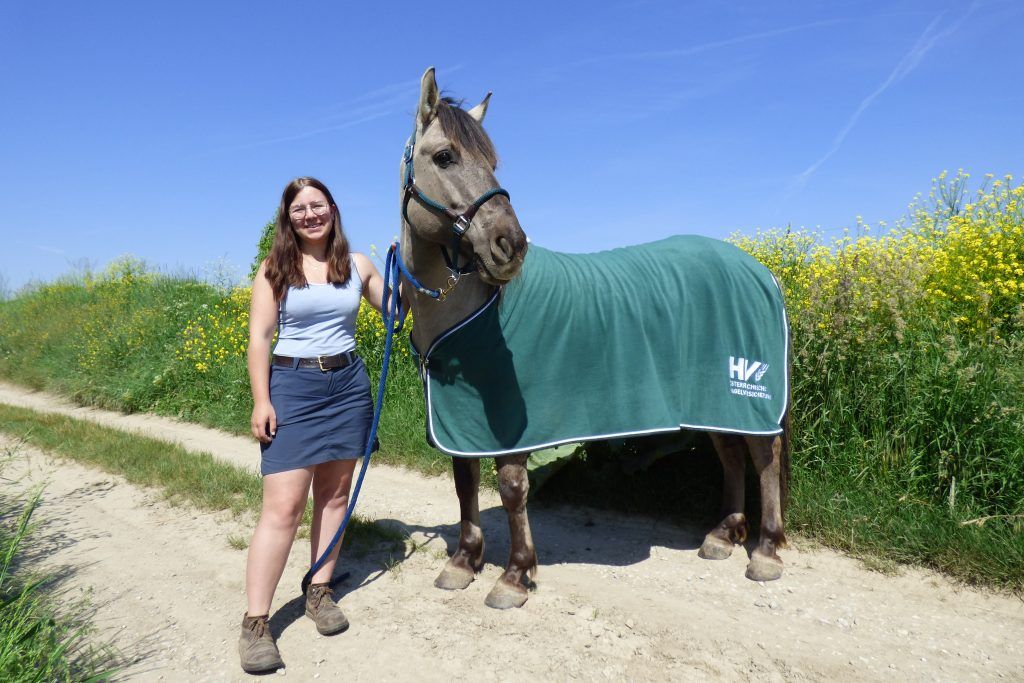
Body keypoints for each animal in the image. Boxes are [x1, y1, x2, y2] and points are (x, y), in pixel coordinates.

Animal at [396, 67, 791, 609]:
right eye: (444, 156)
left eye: (493, 162)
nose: (510, 245)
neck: (472, 308)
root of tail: (761, 271)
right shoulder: (461, 419)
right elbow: (464, 483)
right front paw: (463, 562)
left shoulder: (510, 424)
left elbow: (512, 487)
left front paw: (514, 575)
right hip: (713, 399)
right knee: (732, 454)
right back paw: (722, 535)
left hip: (746, 393)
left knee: (763, 457)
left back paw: (766, 551)